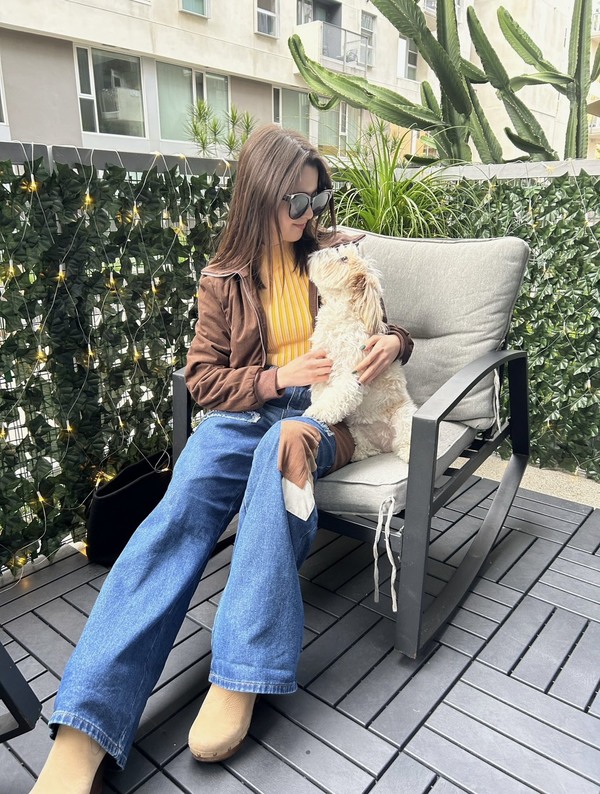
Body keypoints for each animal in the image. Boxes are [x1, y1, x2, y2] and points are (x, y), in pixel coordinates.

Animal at [304, 243, 417, 463]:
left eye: (344, 259)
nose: (319, 251)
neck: (339, 316)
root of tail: (385, 443)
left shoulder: (352, 375)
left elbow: (335, 397)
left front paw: (315, 412)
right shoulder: (321, 369)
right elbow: (323, 394)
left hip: (405, 417)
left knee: (406, 442)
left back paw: (408, 452)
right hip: (356, 430)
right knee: (366, 448)